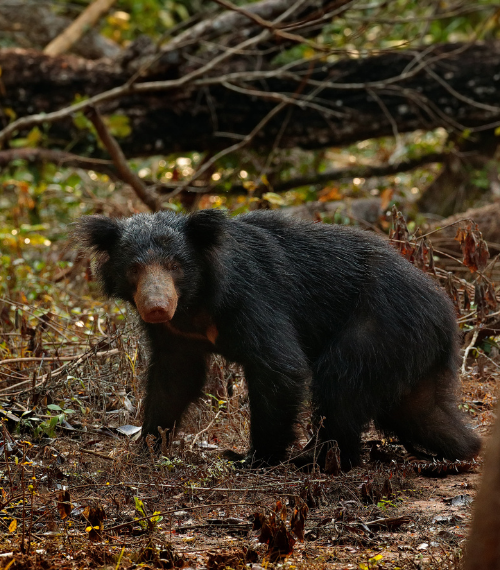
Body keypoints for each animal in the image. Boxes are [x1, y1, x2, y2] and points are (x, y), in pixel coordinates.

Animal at [74, 209, 480, 466]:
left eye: (175, 266)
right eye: (134, 269)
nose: (157, 307)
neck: (194, 303)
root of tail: (447, 315)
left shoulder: (252, 298)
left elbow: (279, 367)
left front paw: (254, 459)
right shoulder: (176, 332)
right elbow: (174, 379)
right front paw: (146, 447)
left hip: (377, 326)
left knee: (340, 383)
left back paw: (321, 459)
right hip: (403, 351)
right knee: (419, 410)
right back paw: (466, 447)